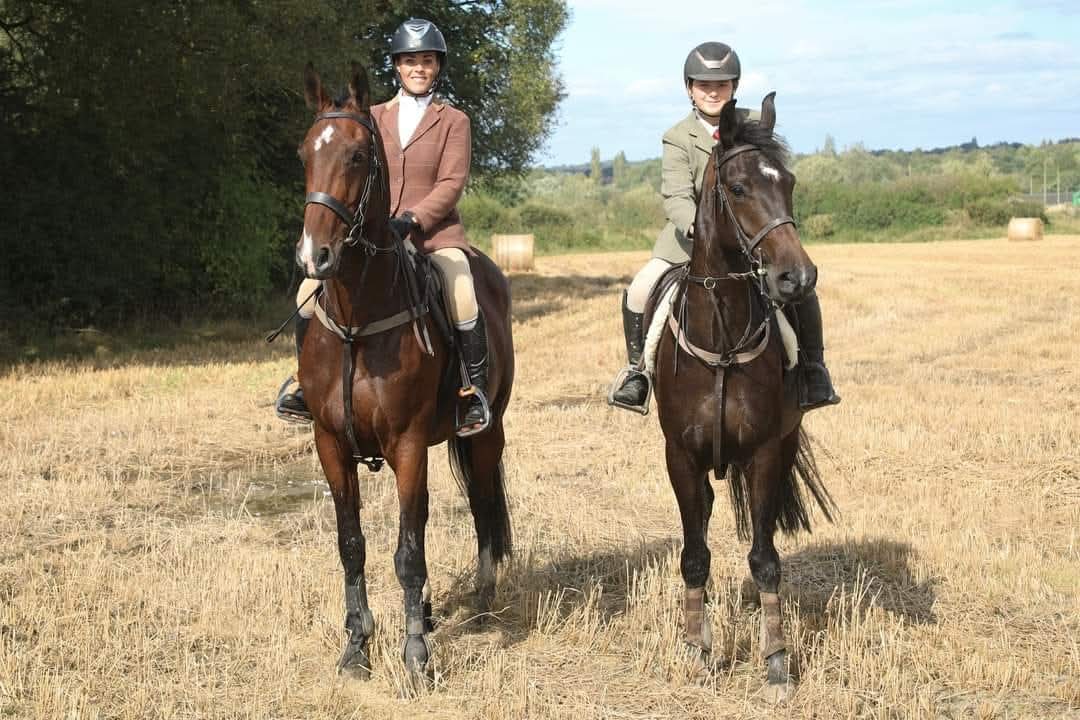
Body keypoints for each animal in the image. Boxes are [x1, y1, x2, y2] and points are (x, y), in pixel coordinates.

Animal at [292, 63, 514, 686]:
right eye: (304, 153)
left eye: (358, 156)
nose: (313, 258)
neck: (356, 321)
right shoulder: (330, 444)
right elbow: (353, 545)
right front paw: (357, 648)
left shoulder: (409, 444)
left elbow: (409, 550)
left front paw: (415, 655)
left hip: (486, 431)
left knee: (483, 501)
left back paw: (482, 596)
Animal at [650, 94, 836, 698]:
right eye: (737, 188)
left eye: (790, 183)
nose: (797, 279)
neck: (724, 334)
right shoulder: (680, 457)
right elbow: (694, 556)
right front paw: (696, 649)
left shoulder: (767, 452)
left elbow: (766, 557)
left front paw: (776, 660)